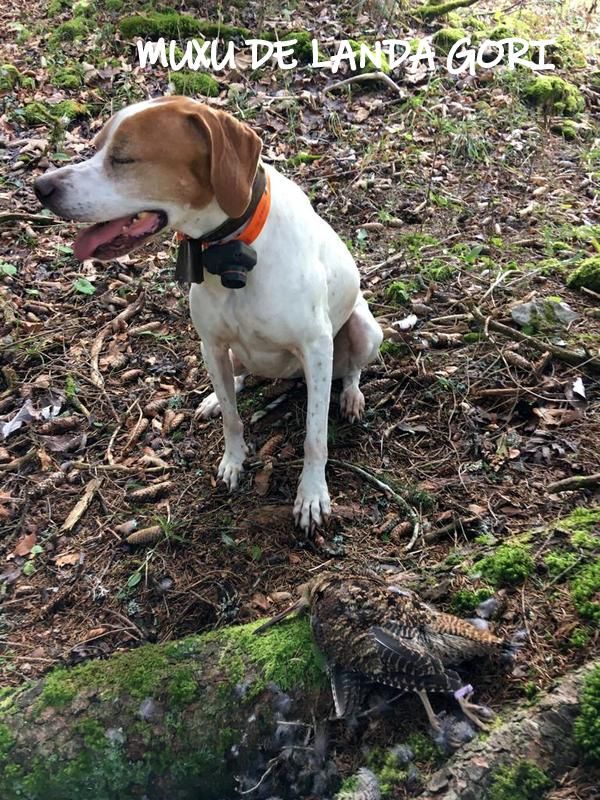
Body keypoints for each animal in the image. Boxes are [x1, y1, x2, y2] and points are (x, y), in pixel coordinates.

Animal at [32, 97, 382, 532]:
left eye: (124, 158)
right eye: (95, 147)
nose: (41, 187)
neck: (230, 252)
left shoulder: (316, 349)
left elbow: (314, 435)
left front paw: (312, 494)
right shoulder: (212, 344)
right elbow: (232, 419)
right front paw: (233, 460)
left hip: (366, 331)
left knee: (351, 369)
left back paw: (351, 396)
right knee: (237, 377)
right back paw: (218, 396)